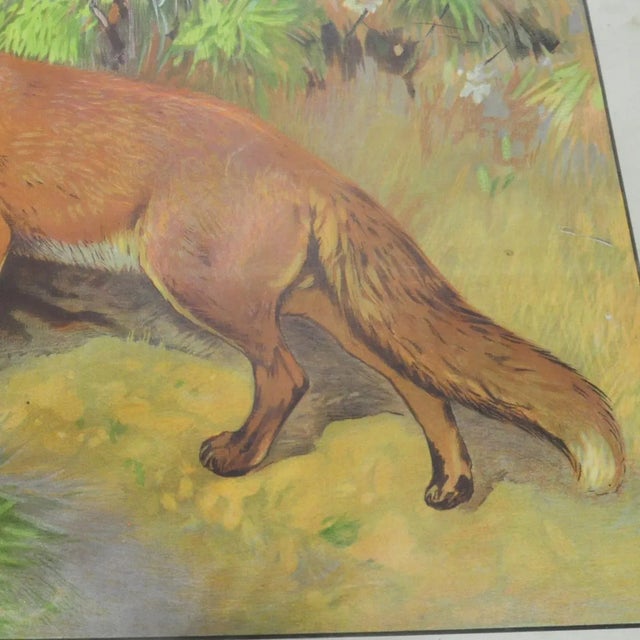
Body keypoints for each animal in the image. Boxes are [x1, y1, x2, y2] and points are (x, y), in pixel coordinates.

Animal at [0, 53, 625, 509]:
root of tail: (313, 166)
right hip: (320, 308)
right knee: (420, 383)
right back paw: (452, 485)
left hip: (203, 288)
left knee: (289, 378)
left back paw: (239, 458)